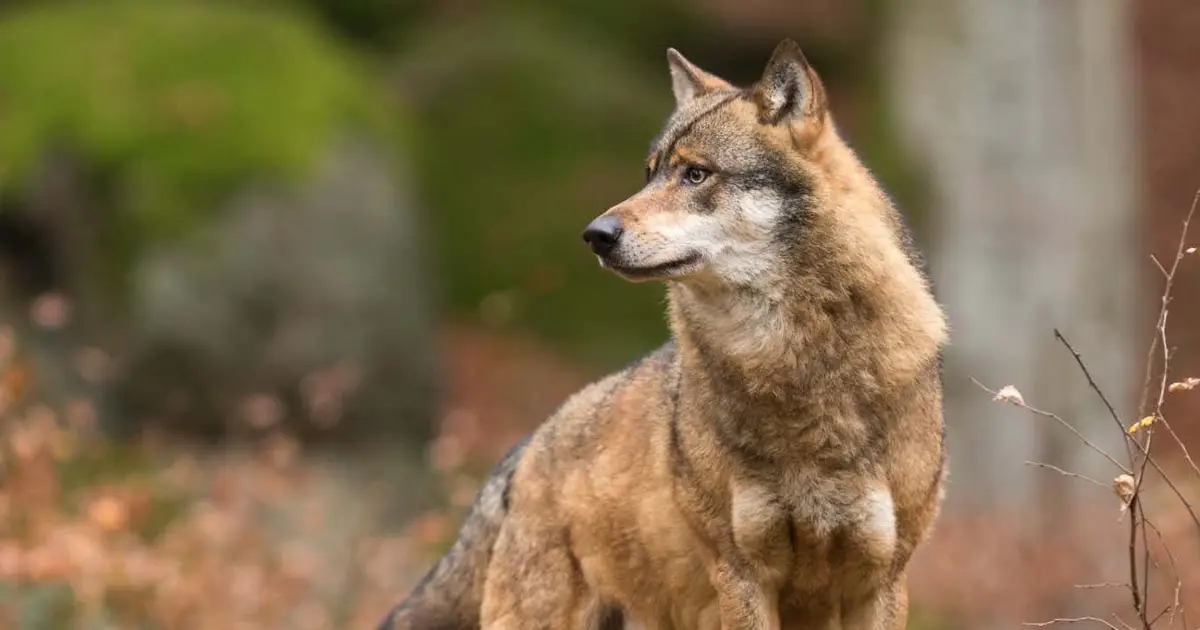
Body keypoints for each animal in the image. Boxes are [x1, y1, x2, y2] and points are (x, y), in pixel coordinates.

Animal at [378, 39, 949, 630]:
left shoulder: (880, 580)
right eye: (649, 173)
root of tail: (523, 450)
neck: (795, 366)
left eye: (696, 174)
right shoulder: (741, 574)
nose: (596, 235)